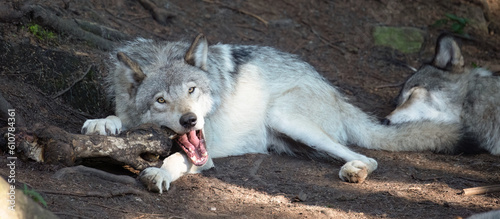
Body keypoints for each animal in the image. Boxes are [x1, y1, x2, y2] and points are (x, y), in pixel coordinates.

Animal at [82, 33, 460, 192]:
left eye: (192, 91)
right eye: (160, 100)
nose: (190, 120)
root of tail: (333, 89)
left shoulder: (204, 154)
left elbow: (175, 159)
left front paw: (159, 173)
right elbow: (116, 118)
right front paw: (102, 124)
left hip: (285, 118)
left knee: (368, 157)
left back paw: (354, 170)